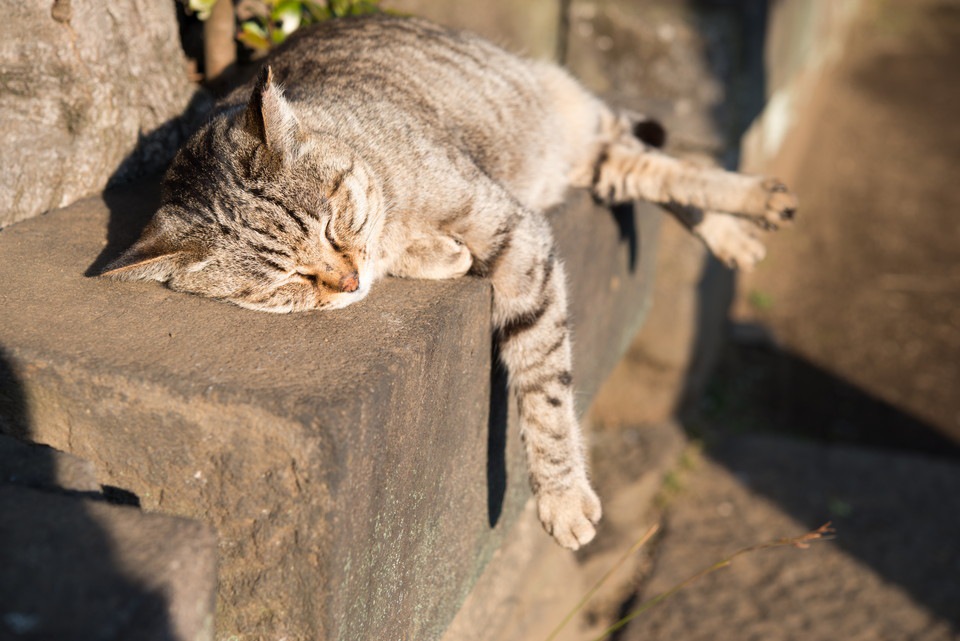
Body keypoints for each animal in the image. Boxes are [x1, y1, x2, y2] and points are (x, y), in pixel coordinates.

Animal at [101, 17, 800, 552]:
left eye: (331, 222)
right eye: (288, 281)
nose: (345, 280)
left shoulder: (516, 232)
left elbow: (544, 387)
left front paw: (561, 493)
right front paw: (435, 256)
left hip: (576, 127)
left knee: (670, 161)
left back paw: (756, 204)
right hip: (596, 168)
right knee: (650, 172)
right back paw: (737, 229)